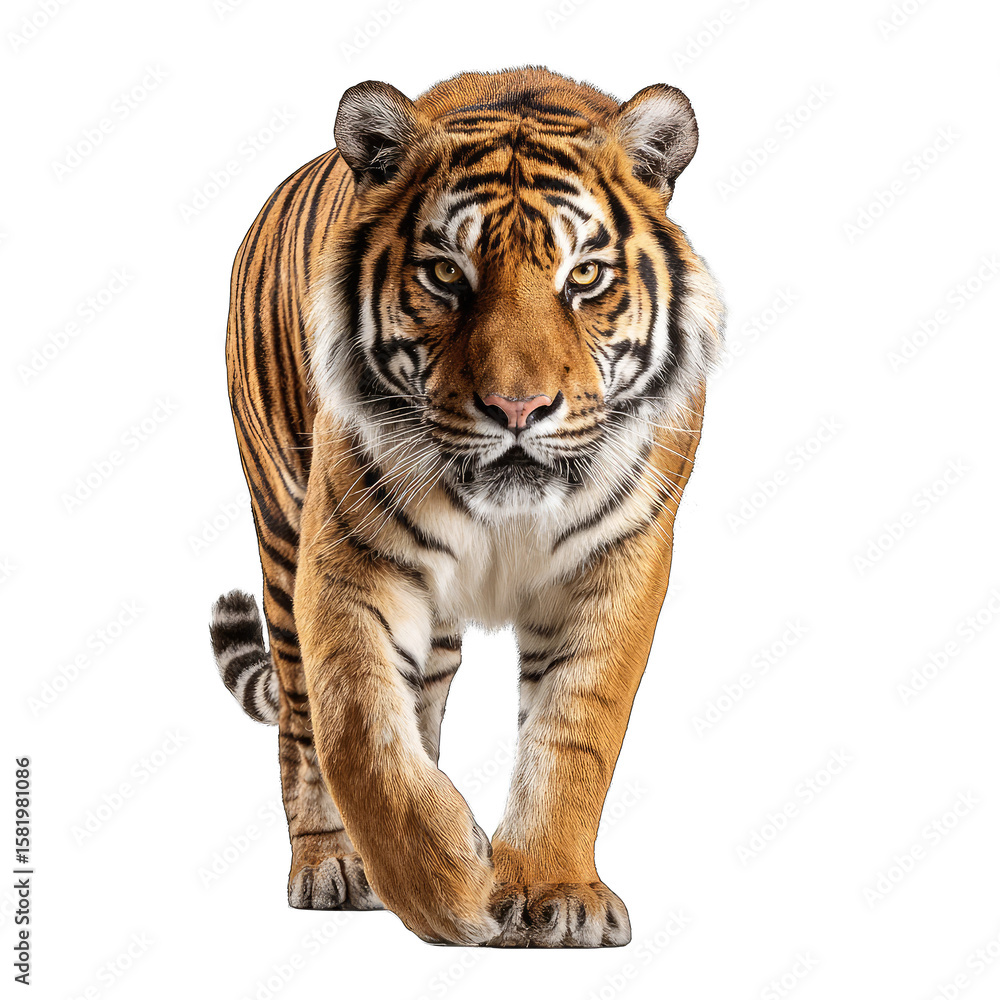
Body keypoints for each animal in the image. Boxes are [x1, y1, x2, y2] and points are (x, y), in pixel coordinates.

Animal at [210, 65, 723, 948]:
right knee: (303, 720)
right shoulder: (346, 558)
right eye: (447, 275)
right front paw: (446, 886)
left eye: (583, 277)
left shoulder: (620, 560)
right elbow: (357, 728)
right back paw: (332, 863)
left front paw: (555, 891)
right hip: (279, 532)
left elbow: (575, 732)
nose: (518, 409)